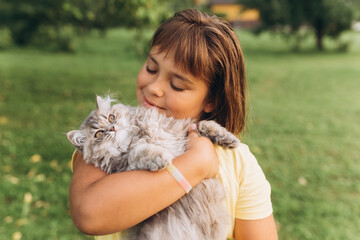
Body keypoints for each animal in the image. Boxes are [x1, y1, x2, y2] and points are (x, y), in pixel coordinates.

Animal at [68, 96, 239, 240]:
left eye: (111, 117)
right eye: (99, 134)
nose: (112, 128)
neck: (136, 136)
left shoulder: (183, 129)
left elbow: (204, 124)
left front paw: (228, 138)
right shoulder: (127, 164)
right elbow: (141, 152)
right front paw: (160, 158)